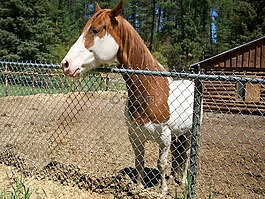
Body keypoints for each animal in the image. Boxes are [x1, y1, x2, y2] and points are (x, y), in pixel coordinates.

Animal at [60, 0, 195, 195]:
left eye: (95, 30)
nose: (66, 64)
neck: (151, 90)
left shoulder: (164, 138)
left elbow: (161, 164)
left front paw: (163, 190)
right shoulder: (135, 136)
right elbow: (139, 163)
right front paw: (138, 187)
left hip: (190, 133)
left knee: (186, 156)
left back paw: (183, 181)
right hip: (180, 134)